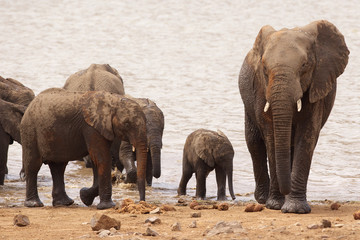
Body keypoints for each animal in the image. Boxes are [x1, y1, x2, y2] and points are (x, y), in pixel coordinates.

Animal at [20, 89, 148, 209]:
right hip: (30, 131)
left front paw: (84, 196)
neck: (113, 100)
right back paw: (34, 204)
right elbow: (102, 158)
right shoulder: (91, 127)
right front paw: (106, 206)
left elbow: (97, 160)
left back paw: (65, 203)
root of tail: (30, 105)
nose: (141, 202)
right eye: (126, 124)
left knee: (58, 167)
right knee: (33, 165)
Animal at [239, 19, 348, 213]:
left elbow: (307, 137)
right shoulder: (261, 89)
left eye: (304, 66)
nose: (286, 190)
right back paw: (263, 199)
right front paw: (275, 205)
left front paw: (294, 209)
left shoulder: (317, 85)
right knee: (254, 142)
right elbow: (271, 139)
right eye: (264, 68)